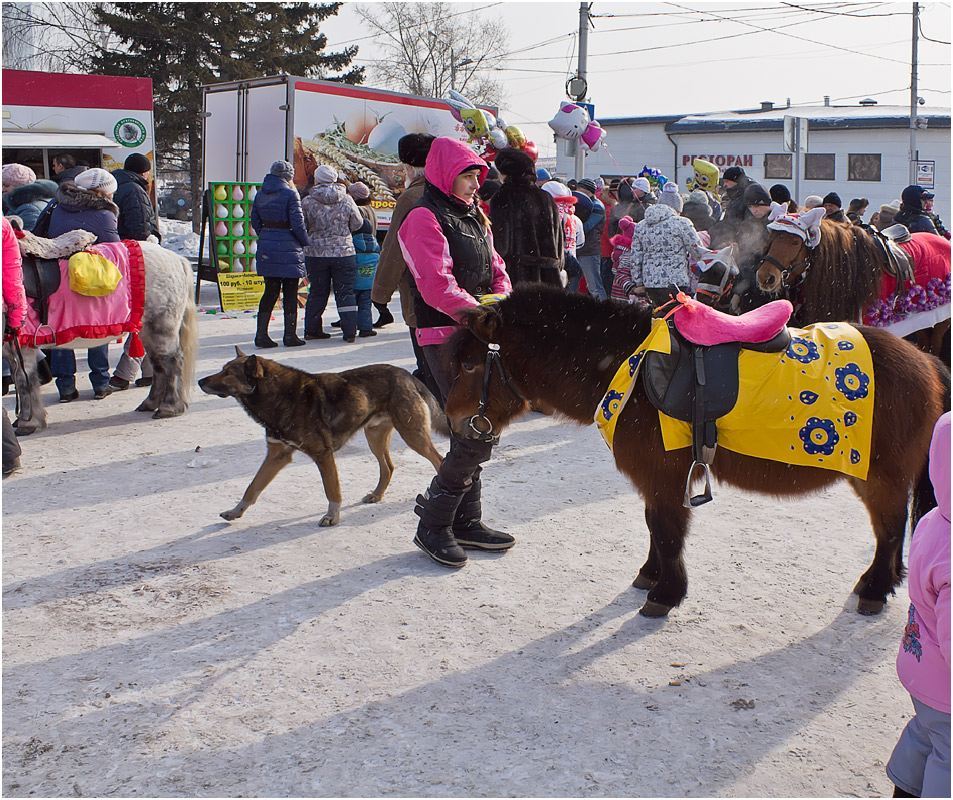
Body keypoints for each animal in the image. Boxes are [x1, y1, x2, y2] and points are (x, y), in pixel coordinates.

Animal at [442, 286, 948, 620]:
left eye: (469, 364)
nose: (451, 419)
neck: (629, 366)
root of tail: (925, 360)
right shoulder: (655, 479)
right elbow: (654, 526)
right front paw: (650, 575)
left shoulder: (665, 476)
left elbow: (667, 531)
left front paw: (665, 593)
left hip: (879, 478)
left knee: (889, 530)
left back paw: (876, 589)